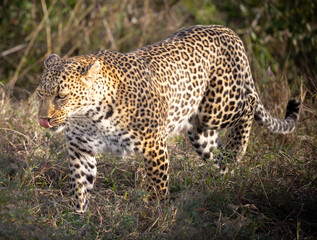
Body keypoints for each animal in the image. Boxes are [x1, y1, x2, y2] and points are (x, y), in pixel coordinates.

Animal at [37, 24, 298, 213]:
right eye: (41, 94)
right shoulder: (80, 149)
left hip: (217, 107)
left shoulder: (153, 145)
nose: (43, 120)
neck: (89, 117)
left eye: (61, 96)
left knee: (249, 104)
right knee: (217, 154)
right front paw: (77, 218)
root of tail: (229, 32)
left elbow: (158, 183)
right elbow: (79, 185)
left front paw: (156, 213)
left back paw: (236, 150)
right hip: (200, 131)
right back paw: (223, 180)